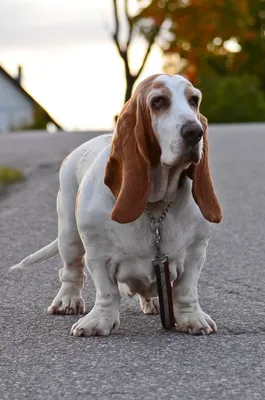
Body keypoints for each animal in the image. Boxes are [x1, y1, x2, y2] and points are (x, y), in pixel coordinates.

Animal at [10, 73, 221, 336]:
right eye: (158, 102)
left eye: (194, 100)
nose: (195, 132)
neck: (155, 205)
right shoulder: (98, 255)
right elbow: (107, 292)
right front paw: (98, 322)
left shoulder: (195, 253)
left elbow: (185, 290)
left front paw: (192, 318)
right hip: (69, 235)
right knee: (71, 271)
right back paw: (67, 301)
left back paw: (153, 302)